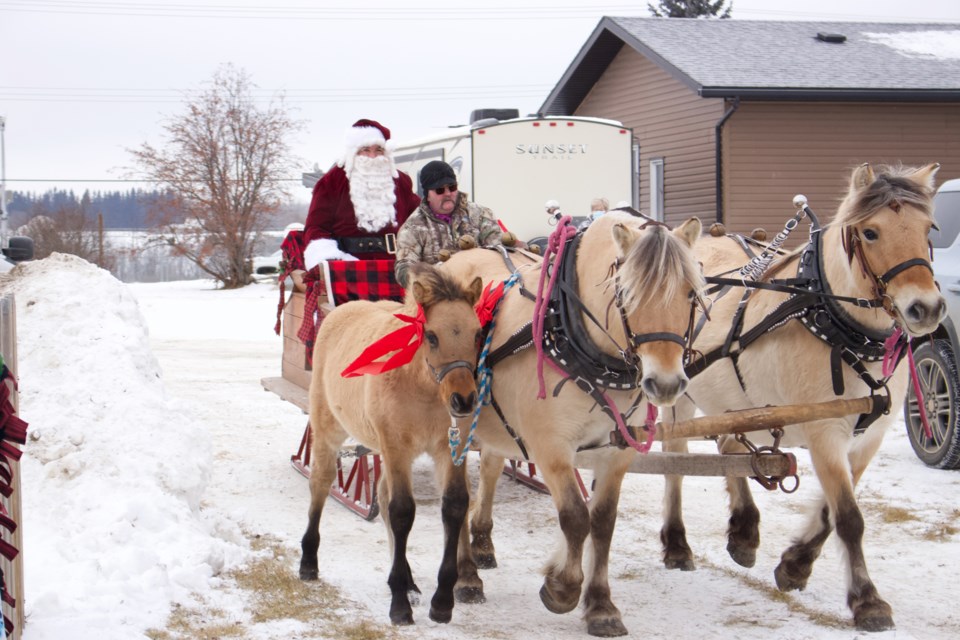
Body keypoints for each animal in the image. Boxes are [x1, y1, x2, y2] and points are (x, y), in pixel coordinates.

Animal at [298, 262, 484, 628]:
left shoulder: (450, 449)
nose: (464, 400)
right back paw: (309, 561)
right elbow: (402, 512)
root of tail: (341, 311)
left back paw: (410, 581)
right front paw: (400, 605)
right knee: (321, 483)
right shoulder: (397, 447)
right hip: (328, 430)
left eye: (477, 333)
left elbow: (454, 506)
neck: (422, 387)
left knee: (381, 498)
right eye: (432, 336)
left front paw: (442, 602)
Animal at [442, 214, 704, 636]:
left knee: (492, 467)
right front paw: (562, 588)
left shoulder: (617, 450)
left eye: (691, 294)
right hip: (459, 418)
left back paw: (482, 544)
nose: (665, 384)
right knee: (457, 496)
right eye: (625, 294)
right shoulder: (550, 447)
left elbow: (603, 522)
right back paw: (466, 575)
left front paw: (600, 606)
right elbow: (575, 517)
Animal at [660, 162, 944, 632]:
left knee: (727, 445)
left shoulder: (870, 436)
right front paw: (867, 600)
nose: (927, 308)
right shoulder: (825, 430)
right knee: (675, 462)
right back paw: (677, 544)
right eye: (871, 232)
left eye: (929, 228)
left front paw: (795, 565)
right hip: (677, 396)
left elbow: (831, 511)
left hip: (735, 400)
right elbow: (849, 516)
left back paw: (744, 531)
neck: (834, 321)